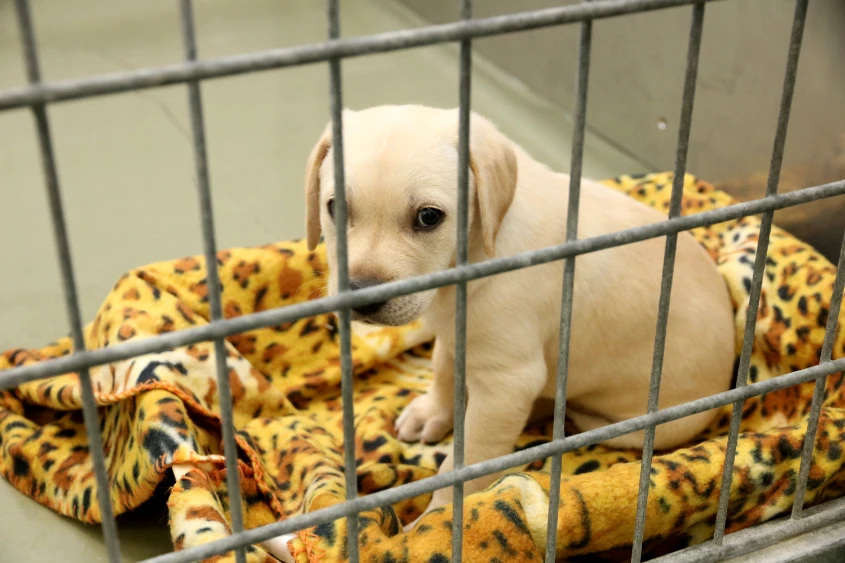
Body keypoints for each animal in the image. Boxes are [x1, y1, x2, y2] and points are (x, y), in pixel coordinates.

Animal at [302, 104, 732, 520]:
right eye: (335, 207)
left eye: (429, 217)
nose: (361, 297)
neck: (474, 257)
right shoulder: (456, 333)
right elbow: (443, 367)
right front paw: (433, 412)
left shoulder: (506, 383)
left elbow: (467, 461)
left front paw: (439, 521)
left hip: (641, 426)